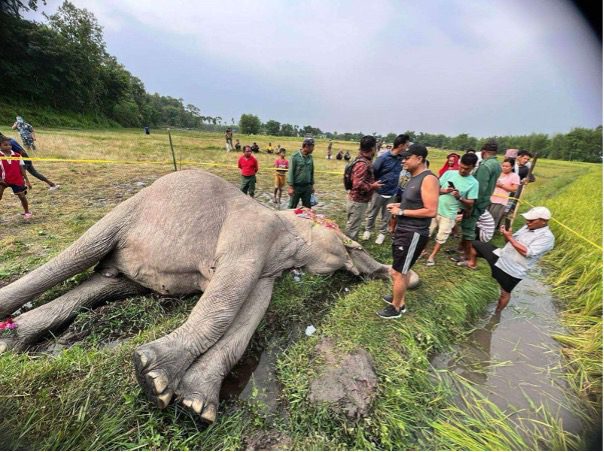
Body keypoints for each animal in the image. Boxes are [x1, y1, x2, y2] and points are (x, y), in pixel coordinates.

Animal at [0, 169, 418, 424]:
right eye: (333, 229)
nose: (367, 267)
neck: (285, 227)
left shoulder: (267, 270)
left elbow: (250, 316)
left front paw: (195, 404)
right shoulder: (251, 235)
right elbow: (227, 299)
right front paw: (154, 380)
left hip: (126, 273)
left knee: (100, 283)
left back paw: (12, 338)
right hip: (125, 214)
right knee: (75, 255)